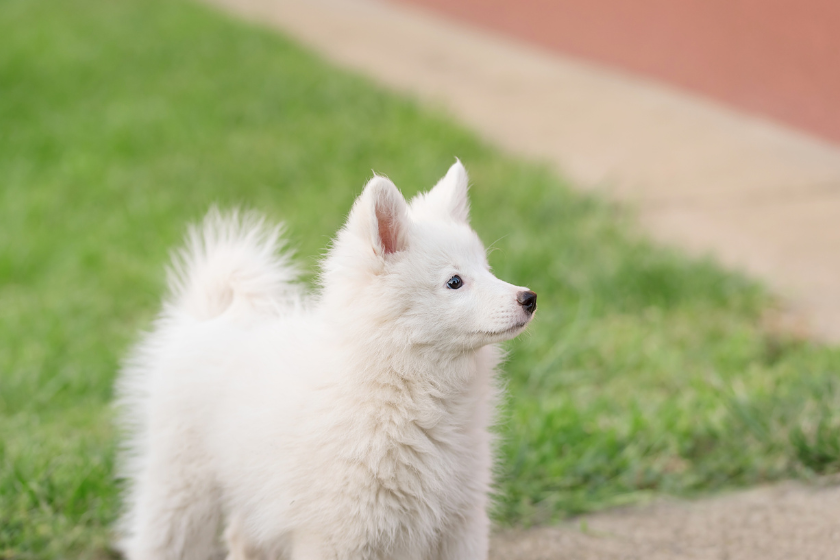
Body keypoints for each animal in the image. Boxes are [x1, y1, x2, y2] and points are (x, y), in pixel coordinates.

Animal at [115, 160, 540, 556]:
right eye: (454, 282)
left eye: (488, 269)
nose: (529, 297)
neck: (405, 389)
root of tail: (211, 316)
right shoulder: (340, 535)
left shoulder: (459, 524)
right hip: (182, 487)